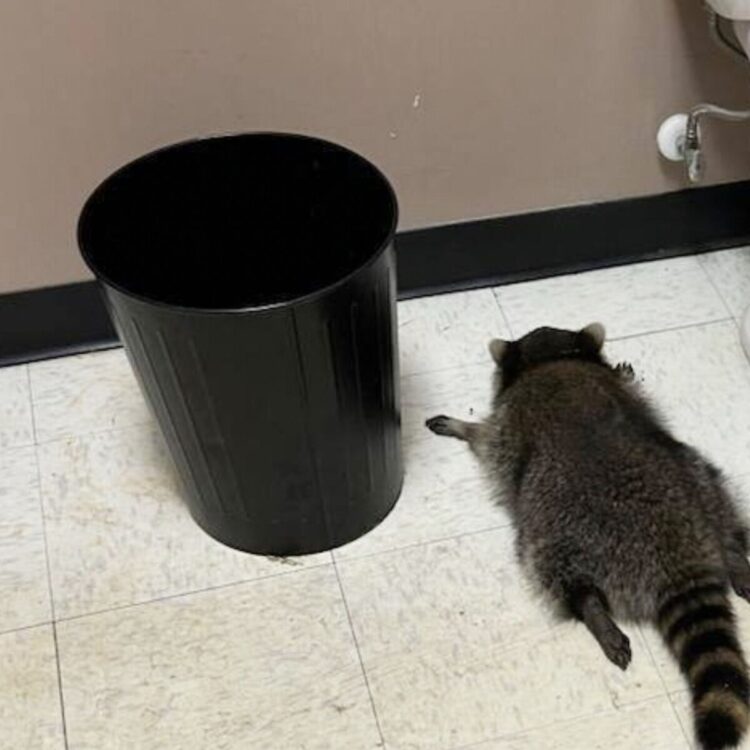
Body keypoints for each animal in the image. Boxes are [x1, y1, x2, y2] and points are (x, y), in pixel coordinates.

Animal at [426, 323, 750, 750]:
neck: (552, 359)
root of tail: (677, 554)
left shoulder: (508, 425)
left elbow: (488, 439)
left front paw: (465, 427)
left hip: (558, 526)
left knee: (551, 567)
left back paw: (591, 608)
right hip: (699, 478)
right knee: (724, 505)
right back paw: (736, 556)